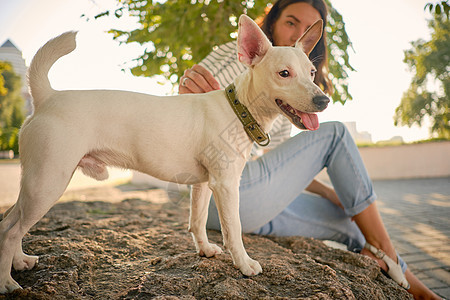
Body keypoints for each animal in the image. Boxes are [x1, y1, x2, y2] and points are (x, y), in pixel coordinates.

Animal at [0, 14, 328, 292]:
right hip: (48, 183)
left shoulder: (204, 185)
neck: (239, 109)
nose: (324, 100)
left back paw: (20, 262)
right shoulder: (225, 186)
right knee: (11, 231)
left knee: (8, 221)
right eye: (284, 74)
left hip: (35, 184)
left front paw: (205, 250)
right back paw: (7, 283)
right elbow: (233, 230)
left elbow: (197, 221)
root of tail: (48, 97)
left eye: (312, 73)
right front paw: (244, 264)